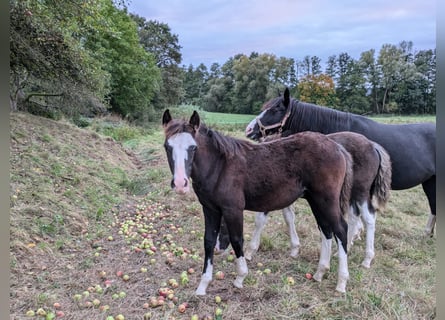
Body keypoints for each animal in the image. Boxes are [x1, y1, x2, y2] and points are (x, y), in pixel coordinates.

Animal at [161, 109, 352, 294]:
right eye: (167, 147)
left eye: (193, 147)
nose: (180, 184)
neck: (219, 167)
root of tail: (338, 147)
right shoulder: (210, 209)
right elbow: (208, 241)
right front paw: (203, 286)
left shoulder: (233, 209)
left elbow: (237, 239)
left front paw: (240, 277)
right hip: (316, 201)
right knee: (326, 229)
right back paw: (320, 272)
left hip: (327, 200)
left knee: (341, 230)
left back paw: (341, 282)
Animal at [217, 131, 390, 268]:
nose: (218, 248)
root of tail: (373, 145)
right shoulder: (282, 195)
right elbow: (289, 217)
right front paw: (294, 248)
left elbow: (260, 220)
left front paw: (250, 251)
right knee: (354, 218)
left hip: (359, 193)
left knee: (368, 218)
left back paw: (367, 259)